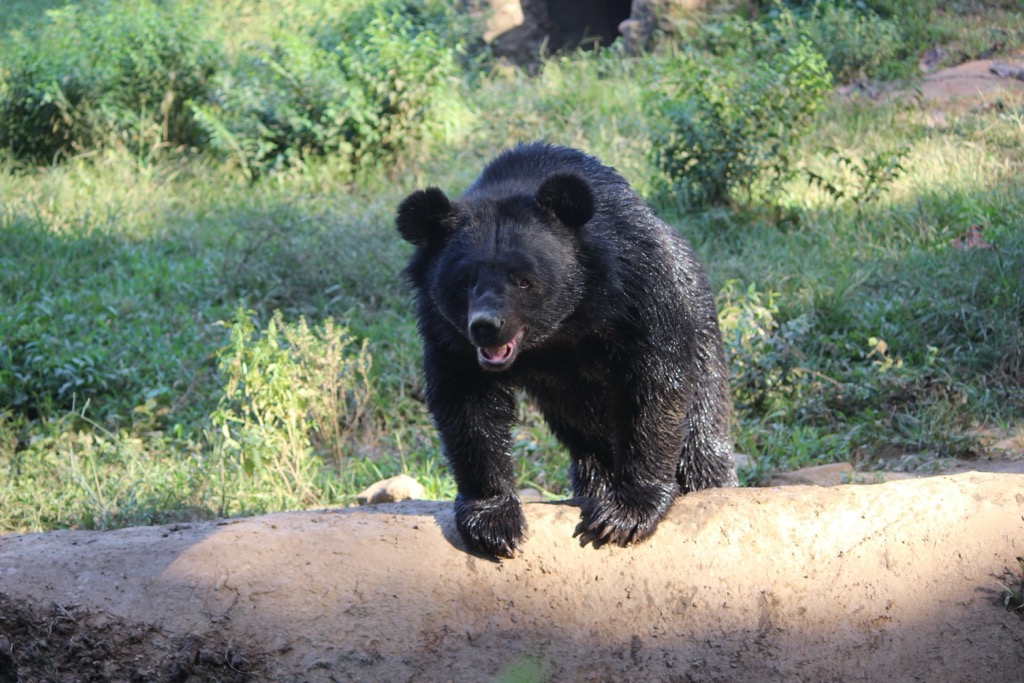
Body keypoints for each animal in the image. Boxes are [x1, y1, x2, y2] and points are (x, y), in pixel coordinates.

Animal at [396, 142, 736, 558]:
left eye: (523, 280)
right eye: (464, 281)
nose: (486, 327)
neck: (561, 326)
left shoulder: (638, 291)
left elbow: (654, 384)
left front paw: (623, 516)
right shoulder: (447, 333)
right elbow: (467, 401)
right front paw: (495, 524)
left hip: (702, 333)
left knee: (702, 436)